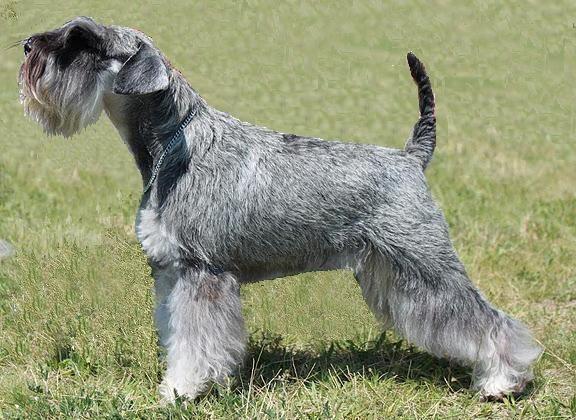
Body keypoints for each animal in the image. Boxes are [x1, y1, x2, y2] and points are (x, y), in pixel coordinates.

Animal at [19, 17, 542, 402]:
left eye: (83, 41)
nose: (25, 45)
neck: (173, 142)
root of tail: (411, 157)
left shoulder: (201, 273)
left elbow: (195, 341)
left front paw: (181, 391)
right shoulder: (171, 272)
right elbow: (175, 334)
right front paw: (178, 382)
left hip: (426, 264)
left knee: (488, 320)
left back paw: (501, 382)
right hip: (391, 273)